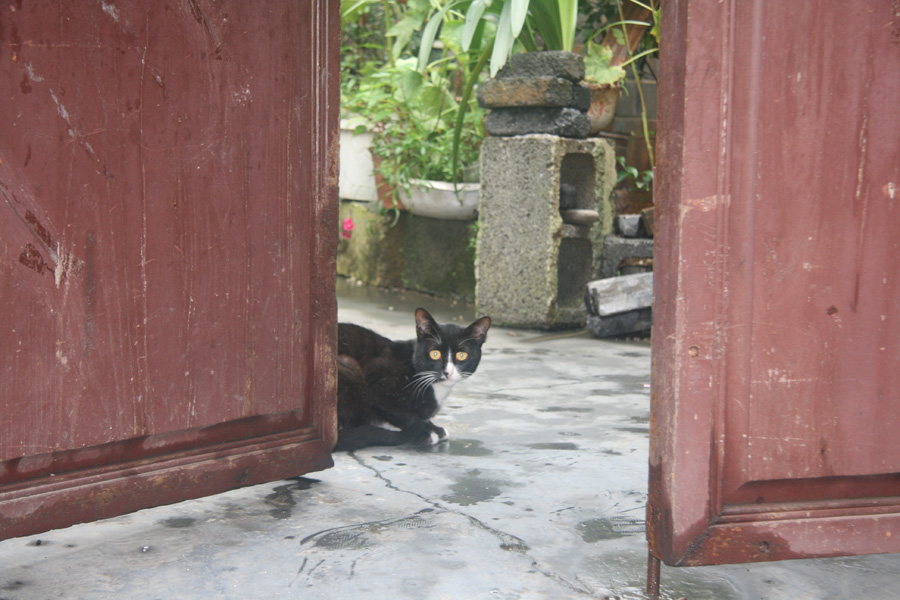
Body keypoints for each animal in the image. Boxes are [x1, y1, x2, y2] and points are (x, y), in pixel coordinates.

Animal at [336, 310, 492, 450]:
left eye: (461, 355)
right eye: (435, 354)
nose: (447, 372)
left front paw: (435, 428)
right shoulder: (378, 388)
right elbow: (406, 416)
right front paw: (425, 432)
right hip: (348, 366)